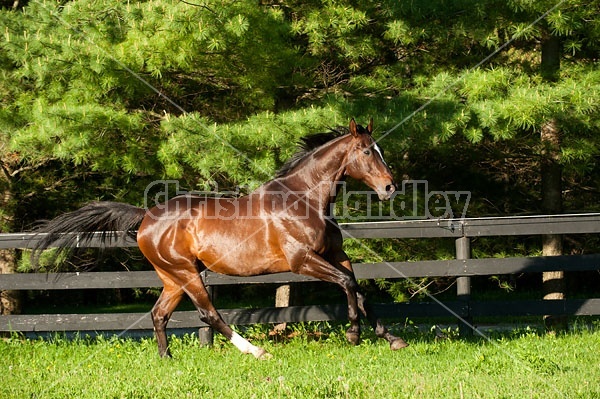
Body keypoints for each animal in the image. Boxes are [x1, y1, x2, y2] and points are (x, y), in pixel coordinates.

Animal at [31, 118, 408, 360]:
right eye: (367, 152)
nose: (390, 187)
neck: (303, 199)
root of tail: (146, 216)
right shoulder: (303, 261)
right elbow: (347, 284)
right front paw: (354, 334)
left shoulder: (335, 255)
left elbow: (359, 289)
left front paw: (391, 339)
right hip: (186, 273)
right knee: (209, 315)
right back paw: (256, 351)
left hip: (173, 278)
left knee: (158, 314)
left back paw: (167, 359)